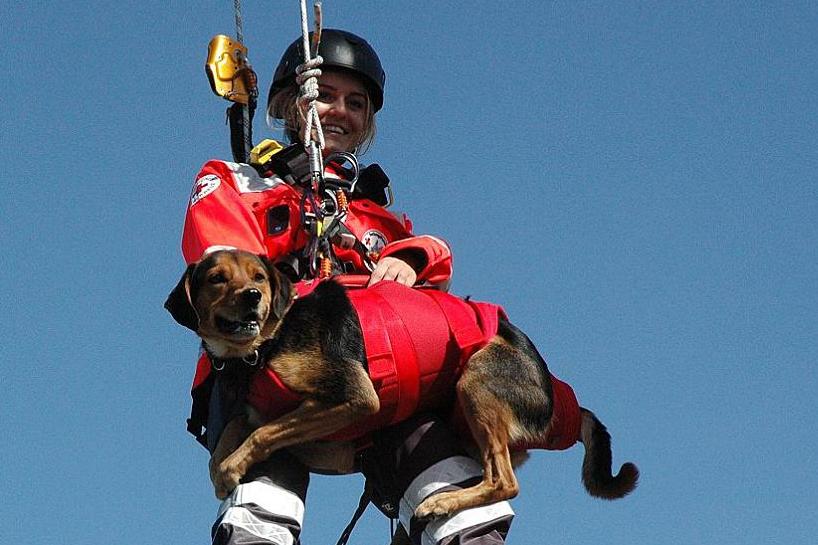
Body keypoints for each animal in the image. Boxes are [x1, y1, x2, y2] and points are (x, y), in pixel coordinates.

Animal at [166, 249, 636, 516]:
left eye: (258, 277)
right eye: (216, 279)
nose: (252, 298)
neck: (266, 345)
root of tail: (555, 394)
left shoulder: (354, 398)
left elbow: (262, 434)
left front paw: (233, 467)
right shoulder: (253, 410)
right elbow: (231, 440)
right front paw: (224, 469)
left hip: (475, 381)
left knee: (505, 482)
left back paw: (445, 501)